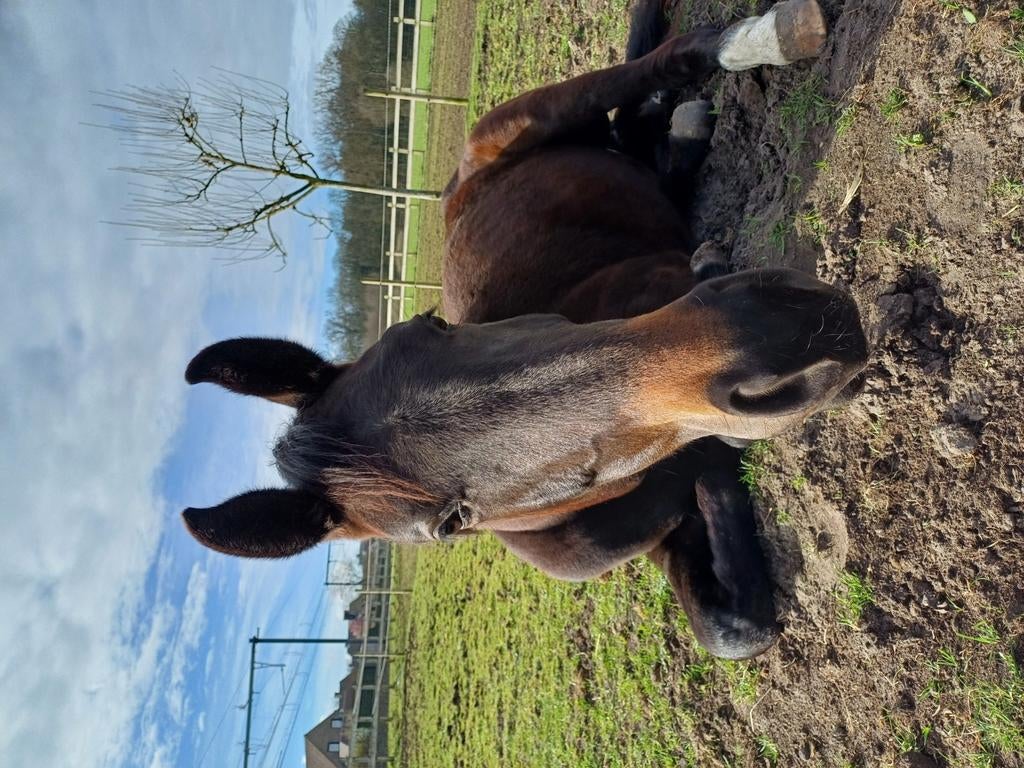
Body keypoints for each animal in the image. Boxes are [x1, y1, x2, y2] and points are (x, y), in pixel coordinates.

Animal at [181, 0, 867, 659]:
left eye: (432, 326)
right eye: (452, 523)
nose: (778, 334)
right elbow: (732, 631)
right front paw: (719, 461)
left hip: (533, 114)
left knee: (665, 62)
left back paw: (759, 43)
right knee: (637, 128)